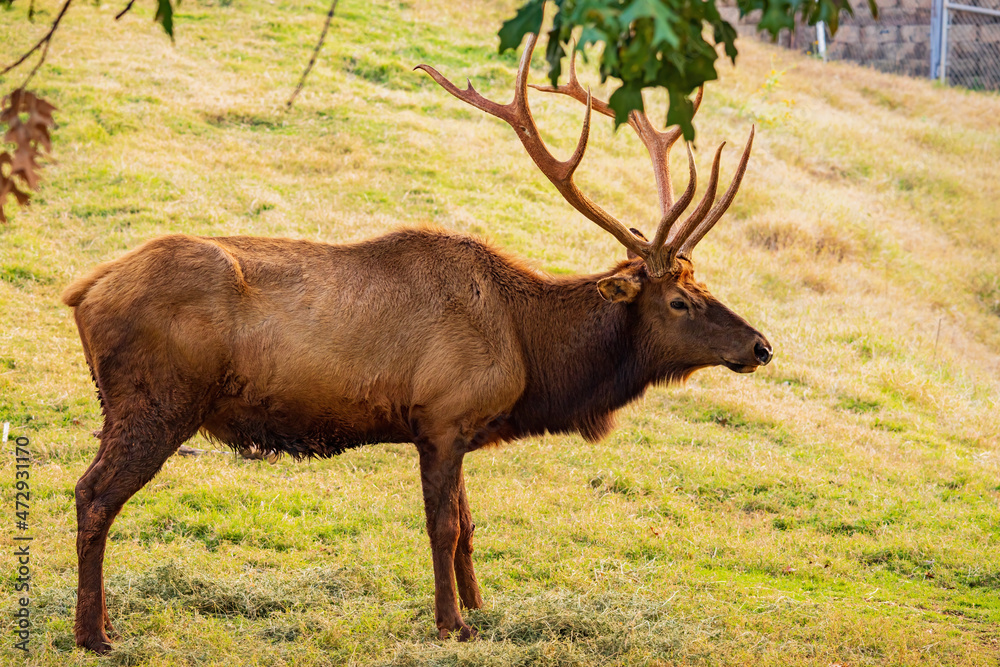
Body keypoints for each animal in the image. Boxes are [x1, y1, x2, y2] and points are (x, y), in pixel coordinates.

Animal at [64, 32, 772, 652]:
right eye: (680, 301)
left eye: (703, 282)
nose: (763, 346)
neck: (529, 354)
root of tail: (83, 291)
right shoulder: (441, 417)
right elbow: (444, 527)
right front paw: (450, 624)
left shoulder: (456, 427)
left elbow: (469, 528)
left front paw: (482, 610)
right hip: (157, 402)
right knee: (93, 494)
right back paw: (94, 634)